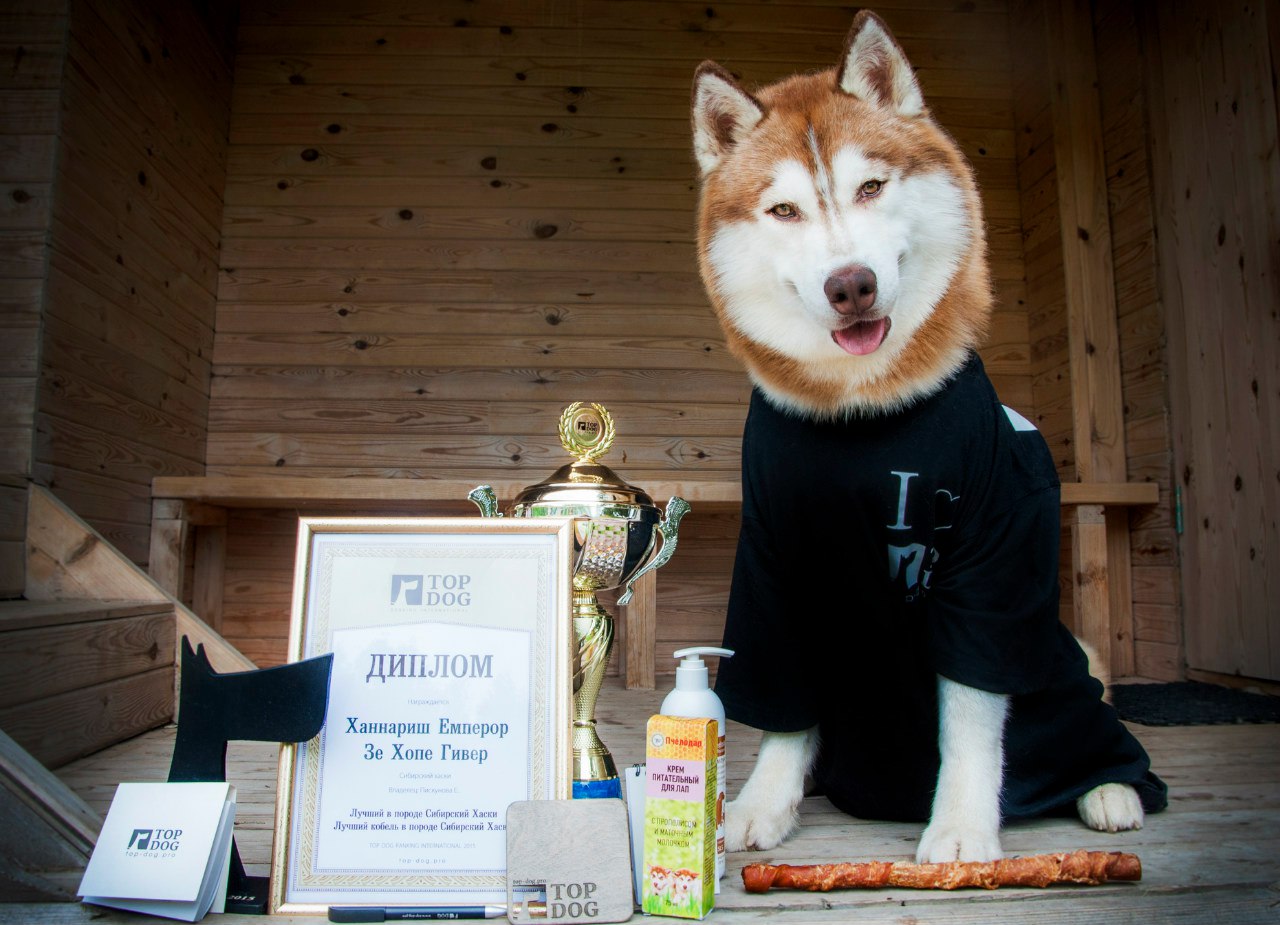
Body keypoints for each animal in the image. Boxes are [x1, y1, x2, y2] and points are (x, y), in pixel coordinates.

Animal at [696, 10, 1167, 864]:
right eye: (783, 211)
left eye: (871, 187)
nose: (850, 285)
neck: (864, 412)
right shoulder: (774, 563)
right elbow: (784, 705)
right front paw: (764, 799)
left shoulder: (991, 568)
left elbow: (973, 718)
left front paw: (960, 827)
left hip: (1064, 667)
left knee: (1101, 722)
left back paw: (1110, 788)